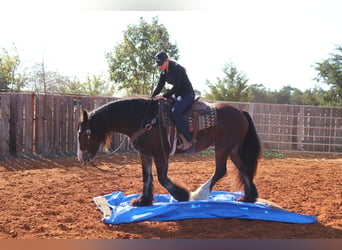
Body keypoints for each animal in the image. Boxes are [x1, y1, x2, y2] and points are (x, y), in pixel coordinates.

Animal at [76, 96, 260, 206]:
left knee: (220, 170)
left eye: (86, 133)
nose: (81, 157)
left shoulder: (160, 154)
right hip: (233, 149)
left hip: (223, 147)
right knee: (244, 169)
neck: (144, 119)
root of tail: (241, 112)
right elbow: (147, 177)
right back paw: (248, 198)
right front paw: (143, 200)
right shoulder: (145, 154)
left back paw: (199, 194)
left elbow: (162, 178)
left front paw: (182, 195)